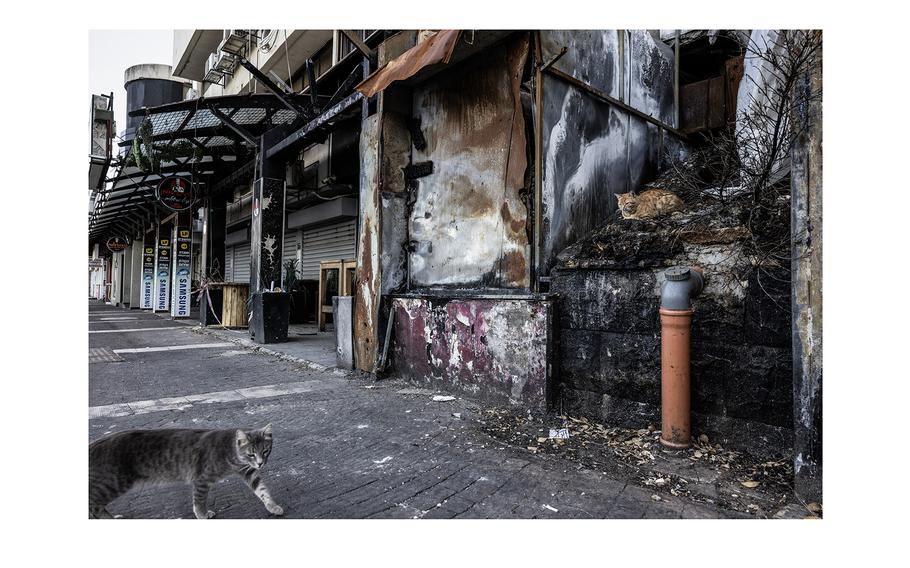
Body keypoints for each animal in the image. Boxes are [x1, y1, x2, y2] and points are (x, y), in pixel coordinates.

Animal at [88, 422, 284, 520]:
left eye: (265, 451)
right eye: (251, 453)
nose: (260, 463)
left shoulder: (248, 472)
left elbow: (262, 490)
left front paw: (272, 506)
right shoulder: (202, 479)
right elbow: (199, 500)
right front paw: (202, 515)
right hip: (112, 483)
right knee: (93, 506)